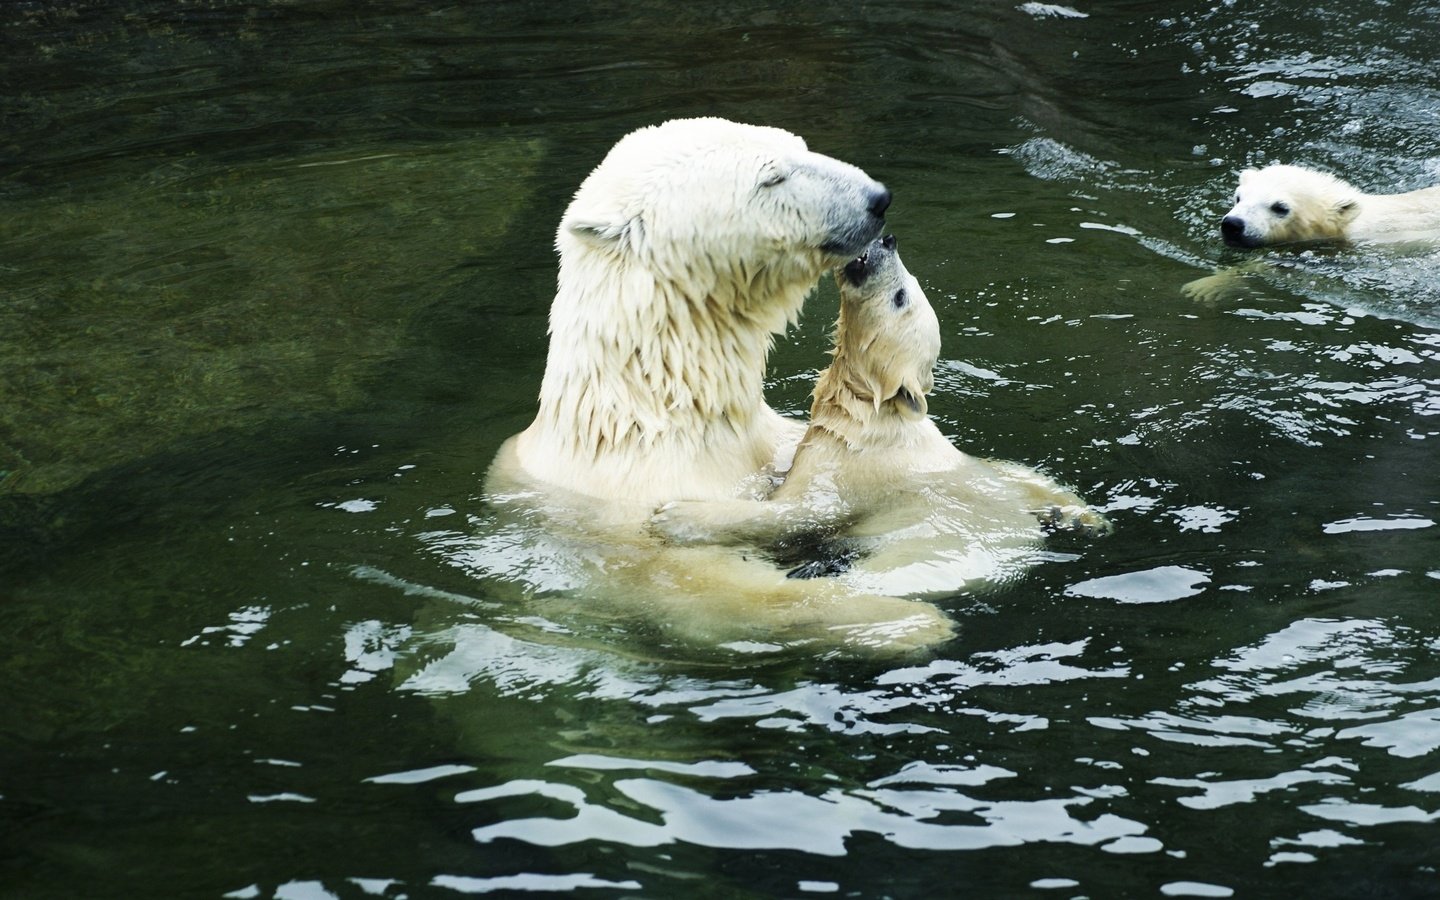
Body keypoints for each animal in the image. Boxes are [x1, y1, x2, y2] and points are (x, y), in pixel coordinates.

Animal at [653, 231, 1111, 596]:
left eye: (900, 296)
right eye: (910, 285)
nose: (887, 241)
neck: (868, 415)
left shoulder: (851, 468)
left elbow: (799, 511)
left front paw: (675, 515)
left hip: (933, 551)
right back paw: (1079, 518)